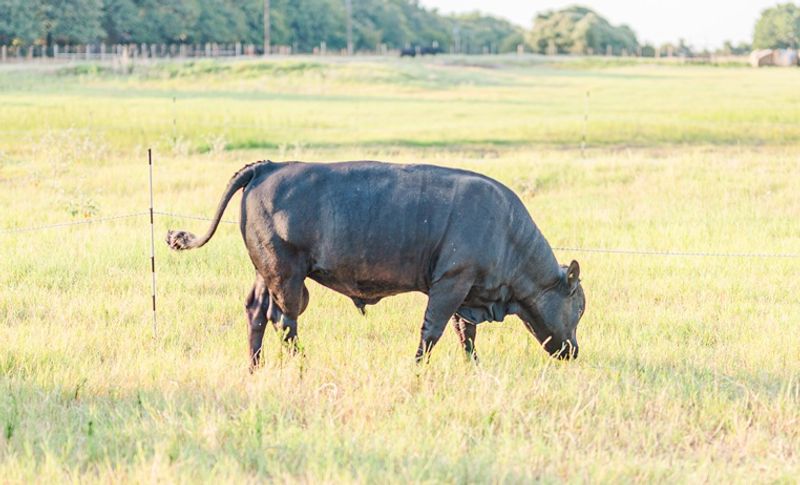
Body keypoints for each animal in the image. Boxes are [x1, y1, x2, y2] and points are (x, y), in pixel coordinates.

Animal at [166, 161, 586, 370]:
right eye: (579, 309)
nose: (574, 351)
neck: (507, 231)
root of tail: (268, 167)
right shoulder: (450, 284)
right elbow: (433, 330)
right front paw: (418, 368)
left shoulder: (465, 290)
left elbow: (464, 333)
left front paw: (474, 366)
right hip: (287, 275)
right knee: (284, 320)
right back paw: (302, 363)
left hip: (266, 273)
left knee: (257, 312)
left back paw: (255, 366)